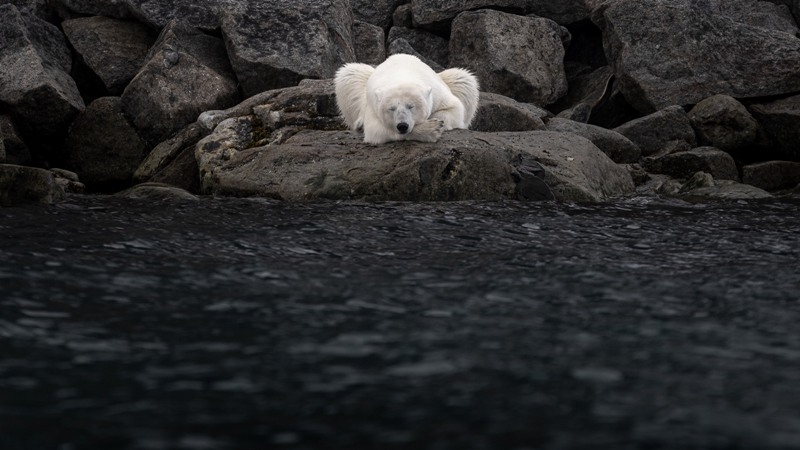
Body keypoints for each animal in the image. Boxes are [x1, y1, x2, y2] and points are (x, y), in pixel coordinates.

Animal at [332, 53, 478, 145]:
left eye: (411, 106)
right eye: (391, 108)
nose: (402, 125)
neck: (403, 75)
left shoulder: (437, 93)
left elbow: (454, 109)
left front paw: (438, 122)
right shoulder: (373, 104)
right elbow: (376, 130)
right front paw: (431, 129)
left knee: (464, 79)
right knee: (350, 73)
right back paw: (359, 124)